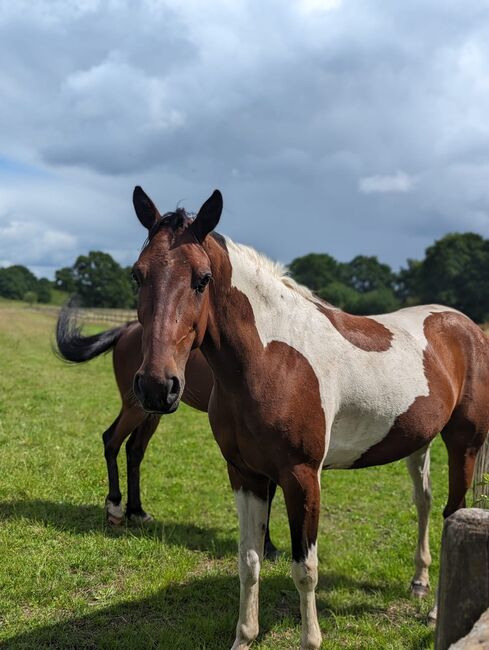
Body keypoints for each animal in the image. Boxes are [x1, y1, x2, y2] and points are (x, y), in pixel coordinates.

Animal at [55, 306, 278, 556]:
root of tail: (127, 328)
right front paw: (267, 546)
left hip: (152, 412)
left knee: (134, 450)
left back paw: (136, 512)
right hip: (135, 407)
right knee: (111, 440)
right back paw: (115, 508)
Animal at [129, 185, 488, 644]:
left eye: (202, 279)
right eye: (138, 275)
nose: (158, 387)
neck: (272, 358)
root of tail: (467, 326)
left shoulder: (302, 478)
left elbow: (305, 569)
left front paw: (311, 640)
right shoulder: (245, 475)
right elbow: (249, 560)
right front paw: (244, 637)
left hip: (464, 445)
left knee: (450, 514)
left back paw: (436, 612)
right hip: (419, 441)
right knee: (423, 502)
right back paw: (419, 583)